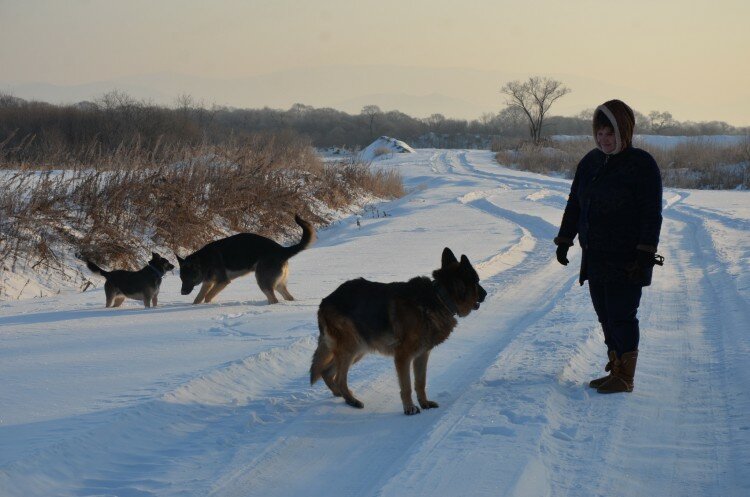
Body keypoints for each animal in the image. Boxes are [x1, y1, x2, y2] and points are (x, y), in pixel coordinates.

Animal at [178, 215, 316, 304]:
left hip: (263, 281)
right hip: (278, 284)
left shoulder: (222, 281)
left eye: (189, 277)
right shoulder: (208, 282)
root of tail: (282, 250)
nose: (182, 293)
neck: (204, 261)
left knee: (274, 299)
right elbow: (198, 299)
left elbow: (207, 297)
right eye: (181, 278)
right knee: (288, 297)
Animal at [312, 248, 488, 414]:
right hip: (353, 347)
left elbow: (420, 383)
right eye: (477, 281)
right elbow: (407, 386)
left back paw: (341, 395)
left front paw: (424, 403)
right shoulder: (403, 357)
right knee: (339, 378)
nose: (485, 294)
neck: (440, 297)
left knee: (326, 372)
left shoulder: (422, 355)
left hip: (359, 349)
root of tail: (325, 301)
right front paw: (409, 408)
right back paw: (351, 400)